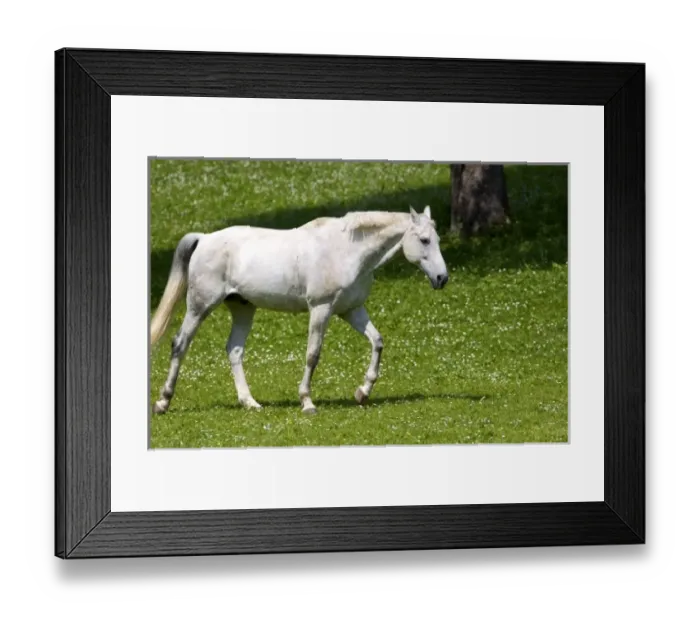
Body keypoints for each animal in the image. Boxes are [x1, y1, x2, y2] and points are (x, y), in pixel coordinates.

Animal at [150, 205, 449, 415]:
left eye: (436, 239)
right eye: (424, 240)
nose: (442, 278)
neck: (346, 250)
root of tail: (204, 238)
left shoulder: (352, 310)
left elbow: (377, 341)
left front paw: (362, 392)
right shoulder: (321, 309)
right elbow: (313, 354)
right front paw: (307, 402)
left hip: (243, 309)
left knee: (234, 350)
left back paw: (250, 402)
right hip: (200, 307)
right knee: (180, 344)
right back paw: (163, 402)